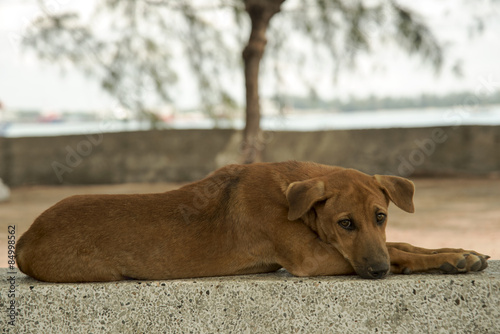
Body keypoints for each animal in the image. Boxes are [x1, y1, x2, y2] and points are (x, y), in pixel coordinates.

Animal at [15, 162, 488, 282]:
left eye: (380, 216)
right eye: (344, 223)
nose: (376, 273)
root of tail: (25, 237)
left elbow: (402, 243)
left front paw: (460, 254)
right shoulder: (314, 258)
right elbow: (399, 250)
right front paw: (444, 258)